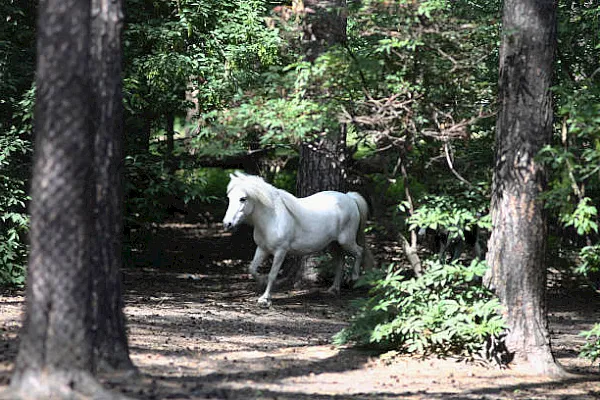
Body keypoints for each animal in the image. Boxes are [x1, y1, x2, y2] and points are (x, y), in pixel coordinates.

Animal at [223, 172, 372, 306]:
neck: (272, 219)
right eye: (229, 198)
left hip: (346, 241)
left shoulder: (280, 251)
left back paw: (354, 278)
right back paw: (334, 289)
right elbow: (252, 269)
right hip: (333, 244)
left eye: (243, 199)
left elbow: (272, 274)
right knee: (340, 261)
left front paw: (265, 299)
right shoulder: (262, 249)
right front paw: (262, 283)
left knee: (359, 251)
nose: (227, 224)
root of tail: (349, 197)